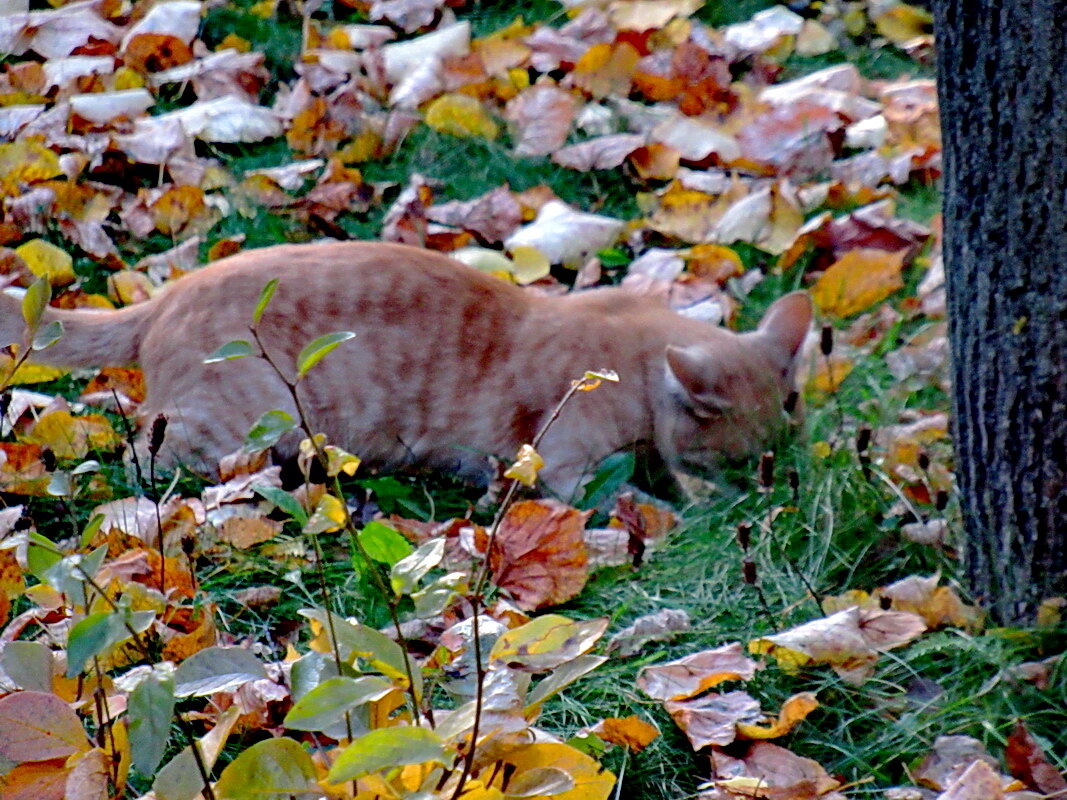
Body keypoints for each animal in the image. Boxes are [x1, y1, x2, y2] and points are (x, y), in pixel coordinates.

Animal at [0, 241, 810, 499]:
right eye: (738, 466)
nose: (767, 493)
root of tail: (170, 292)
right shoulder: (563, 466)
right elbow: (637, 504)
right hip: (238, 428)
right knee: (143, 455)